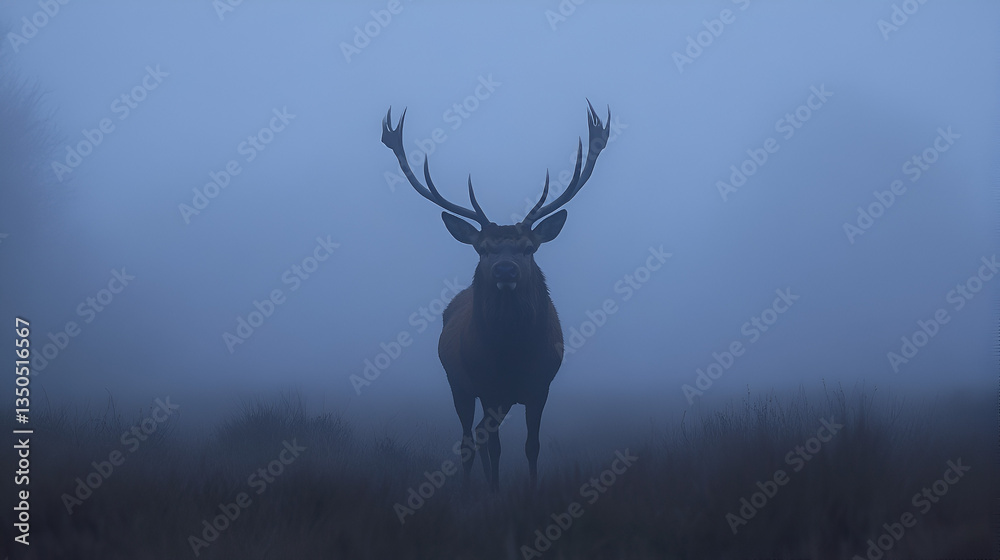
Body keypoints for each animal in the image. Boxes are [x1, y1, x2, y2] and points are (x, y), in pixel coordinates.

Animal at [381, 102, 610, 491]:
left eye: (529, 248)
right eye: (483, 249)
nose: (505, 271)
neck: (512, 354)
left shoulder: (540, 385)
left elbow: (532, 445)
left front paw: (531, 490)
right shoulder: (486, 386)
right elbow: (495, 446)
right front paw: (494, 493)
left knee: (477, 434)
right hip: (458, 383)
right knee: (468, 438)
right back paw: (472, 488)